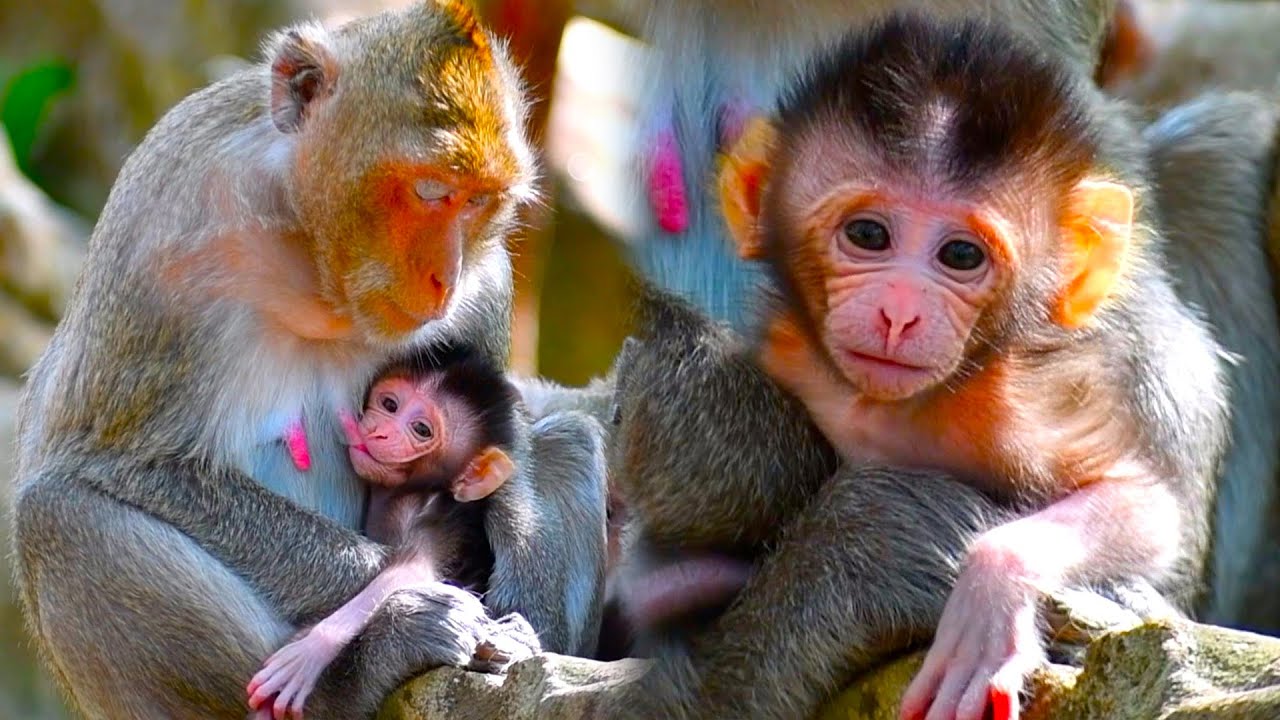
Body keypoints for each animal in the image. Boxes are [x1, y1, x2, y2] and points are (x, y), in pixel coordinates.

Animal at [248, 345, 523, 719]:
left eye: (421, 429)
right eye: (390, 404)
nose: (379, 432)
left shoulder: (416, 514)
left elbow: (410, 570)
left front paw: (313, 648)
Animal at [599, 12, 1278, 720]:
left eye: (960, 255)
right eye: (868, 235)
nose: (900, 312)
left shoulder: (1015, 408)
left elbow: (1143, 505)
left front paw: (990, 584)